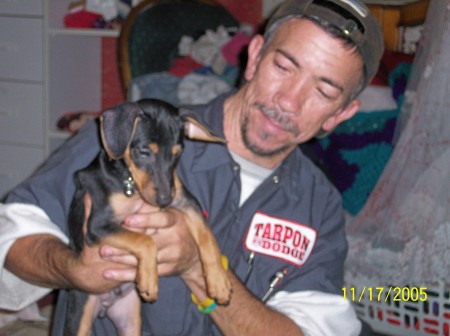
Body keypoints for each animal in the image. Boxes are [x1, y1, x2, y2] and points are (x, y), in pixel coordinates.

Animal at [66, 98, 232, 334]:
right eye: (144, 151)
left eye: (177, 152)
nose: (164, 200)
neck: (129, 181)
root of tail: (106, 306)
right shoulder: (97, 225)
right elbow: (144, 240)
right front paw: (149, 280)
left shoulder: (187, 202)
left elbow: (207, 237)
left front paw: (219, 281)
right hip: (81, 312)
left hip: (130, 320)